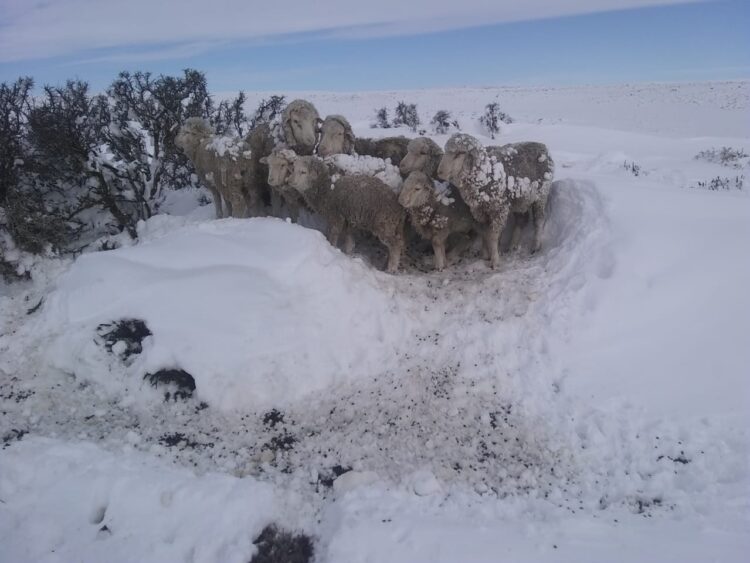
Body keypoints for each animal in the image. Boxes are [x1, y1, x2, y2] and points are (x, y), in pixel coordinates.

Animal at [437, 133, 554, 268]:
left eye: (460, 153)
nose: (440, 172)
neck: (486, 173)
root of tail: (542, 146)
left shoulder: (499, 209)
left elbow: (492, 236)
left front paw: (494, 260)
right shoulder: (480, 212)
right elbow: (484, 233)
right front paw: (485, 254)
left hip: (541, 196)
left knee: (539, 220)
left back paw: (535, 246)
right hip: (520, 201)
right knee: (521, 220)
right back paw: (512, 246)